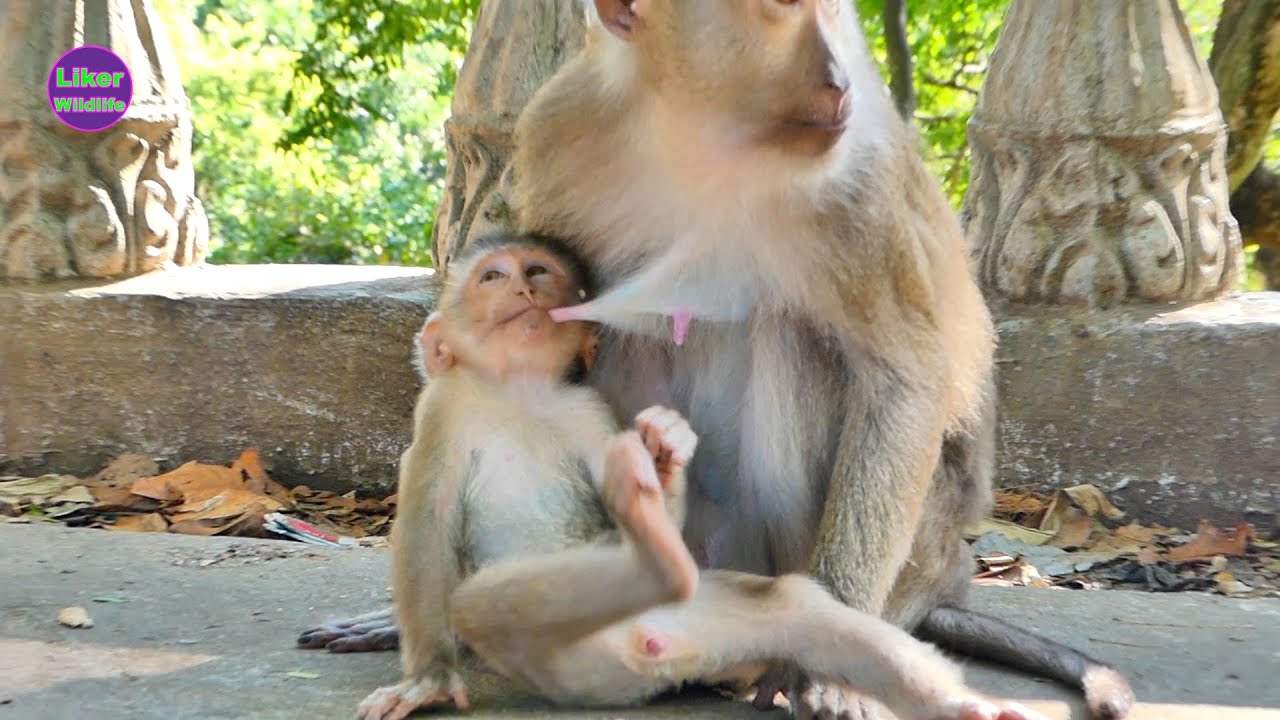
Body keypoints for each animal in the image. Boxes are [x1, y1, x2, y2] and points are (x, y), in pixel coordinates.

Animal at [351, 231, 1048, 720]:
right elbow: (426, 521)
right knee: (482, 604)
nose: (523, 288)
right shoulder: (443, 411)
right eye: (492, 275)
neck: (520, 393)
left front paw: (663, 458)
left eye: (540, 271)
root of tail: (656, 650)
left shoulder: (586, 411)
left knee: (792, 608)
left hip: (709, 622)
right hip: (563, 660)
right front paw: (429, 678)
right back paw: (655, 558)